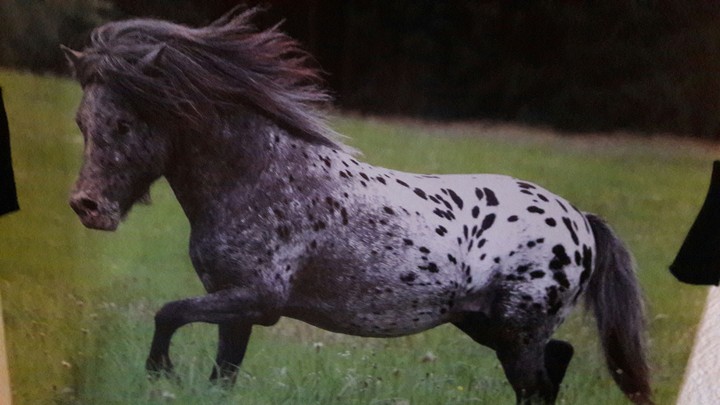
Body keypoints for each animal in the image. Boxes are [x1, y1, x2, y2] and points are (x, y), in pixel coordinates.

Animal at [63, 8, 652, 404]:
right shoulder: (235, 307)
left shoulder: (256, 299)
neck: (258, 176)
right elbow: (220, 374)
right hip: (486, 324)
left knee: (538, 381)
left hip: (516, 329)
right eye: (81, 122)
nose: (87, 207)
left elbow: (168, 313)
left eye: (123, 123)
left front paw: (159, 373)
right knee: (556, 365)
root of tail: (580, 222)